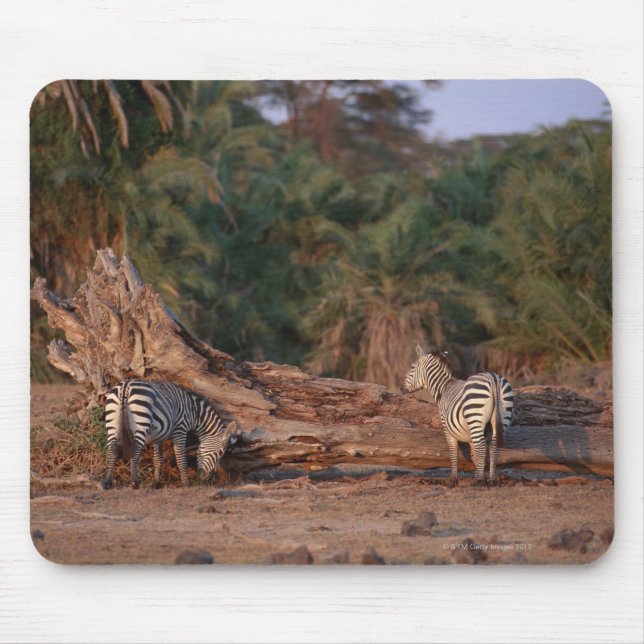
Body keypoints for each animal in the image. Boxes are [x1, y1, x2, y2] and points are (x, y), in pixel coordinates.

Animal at [102, 378, 237, 489]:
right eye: (220, 452)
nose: (209, 479)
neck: (194, 413)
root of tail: (126, 385)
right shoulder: (180, 430)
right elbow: (181, 458)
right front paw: (186, 483)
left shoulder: (158, 435)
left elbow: (158, 459)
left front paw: (156, 483)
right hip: (140, 422)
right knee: (135, 451)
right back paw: (135, 482)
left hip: (112, 422)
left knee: (112, 450)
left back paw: (107, 482)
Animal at [402, 345, 514, 487]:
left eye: (412, 367)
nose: (401, 388)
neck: (444, 388)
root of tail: (493, 378)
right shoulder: (472, 434)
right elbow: (474, 454)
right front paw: (482, 474)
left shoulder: (447, 428)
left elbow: (453, 452)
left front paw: (454, 479)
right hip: (502, 417)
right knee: (493, 446)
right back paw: (492, 480)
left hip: (475, 416)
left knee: (482, 446)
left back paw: (477, 481)